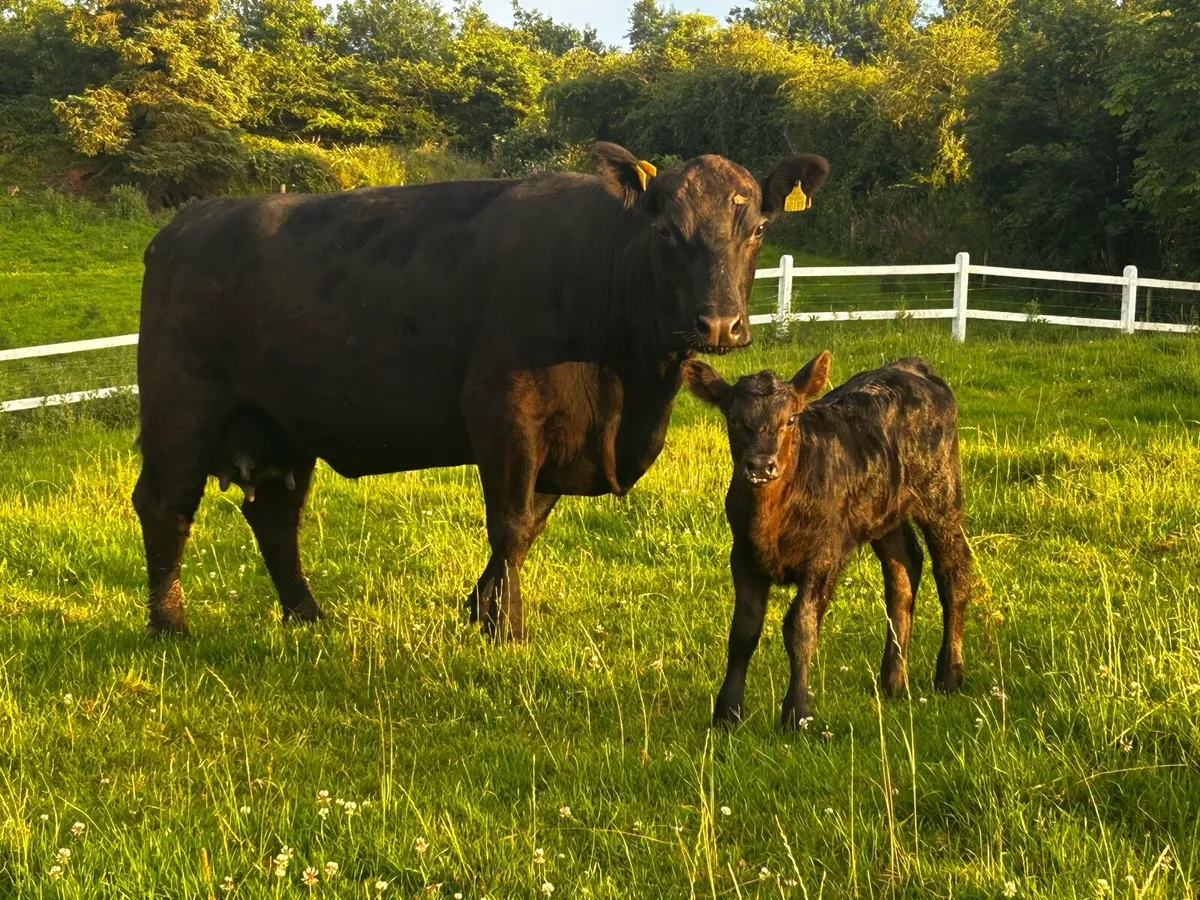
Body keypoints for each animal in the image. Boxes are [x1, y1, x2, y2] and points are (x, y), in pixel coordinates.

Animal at [133, 143, 829, 637]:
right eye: (665, 233)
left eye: (757, 229)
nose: (720, 324)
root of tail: (190, 220)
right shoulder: (505, 413)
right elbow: (511, 524)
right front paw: (506, 628)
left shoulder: (560, 438)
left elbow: (530, 524)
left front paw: (480, 610)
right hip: (181, 409)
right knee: (167, 505)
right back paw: (170, 624)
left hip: (281, 424)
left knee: (276, 515)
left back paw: (306, 614)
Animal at [682, 352, 971, 728]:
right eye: (733, 418)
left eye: (791, 419)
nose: (760, 465)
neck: (771, 518)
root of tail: (911, 365)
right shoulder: (743, 556)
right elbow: (743, 631)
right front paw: (728, 713)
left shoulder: (823, 557)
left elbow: (801, 627)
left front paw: (797, 713)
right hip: (883, 512)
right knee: (903, 569)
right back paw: (893, 681)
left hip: (941, 495)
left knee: (953, 573)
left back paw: (949, 675)